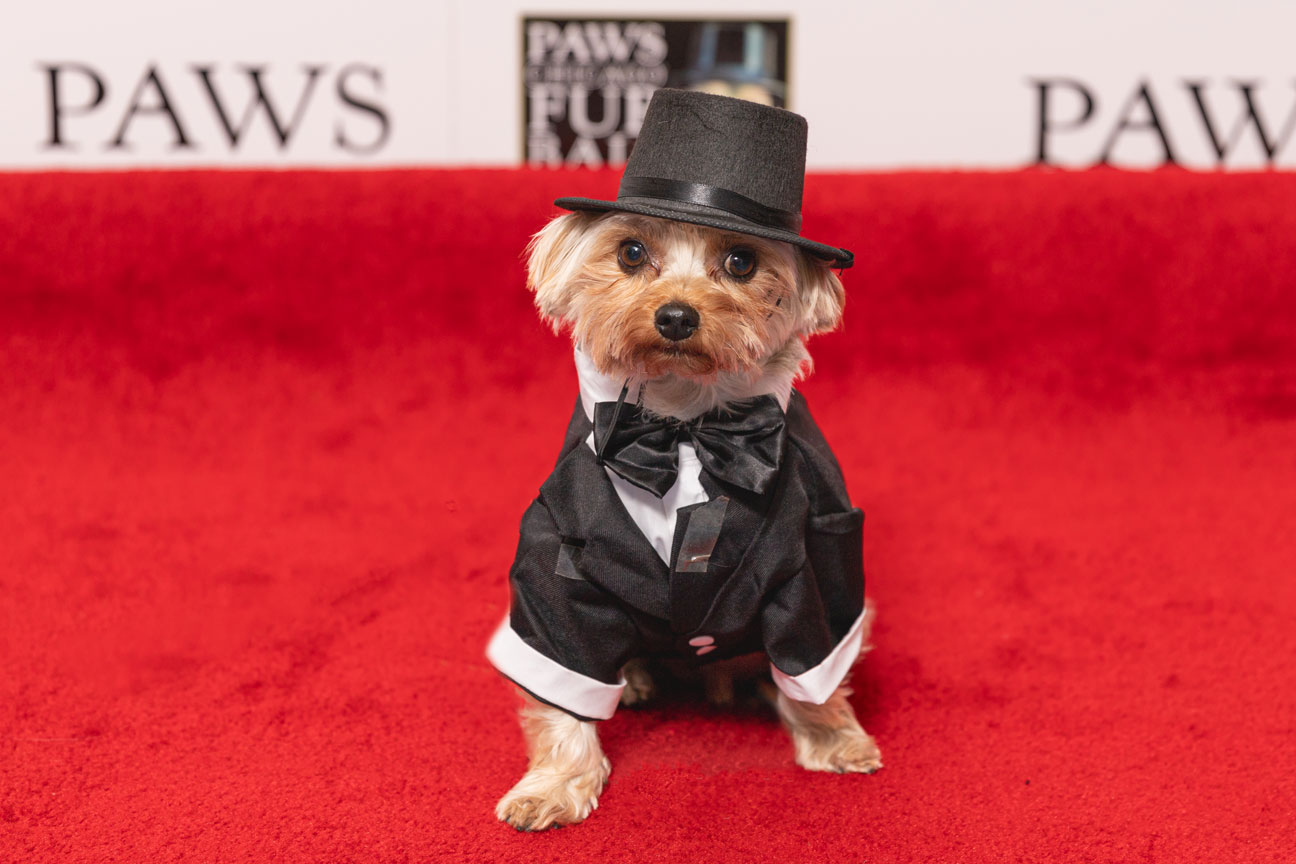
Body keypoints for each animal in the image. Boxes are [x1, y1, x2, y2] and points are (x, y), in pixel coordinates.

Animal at [487, 89, 881, 829]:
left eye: (741, 262)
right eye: (631, 251)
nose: (675, 316)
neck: (685, 427)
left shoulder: (818, 558)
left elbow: (816, 660)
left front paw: (832, 736)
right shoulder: (558, 566)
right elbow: (559, 691)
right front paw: (553, 785)